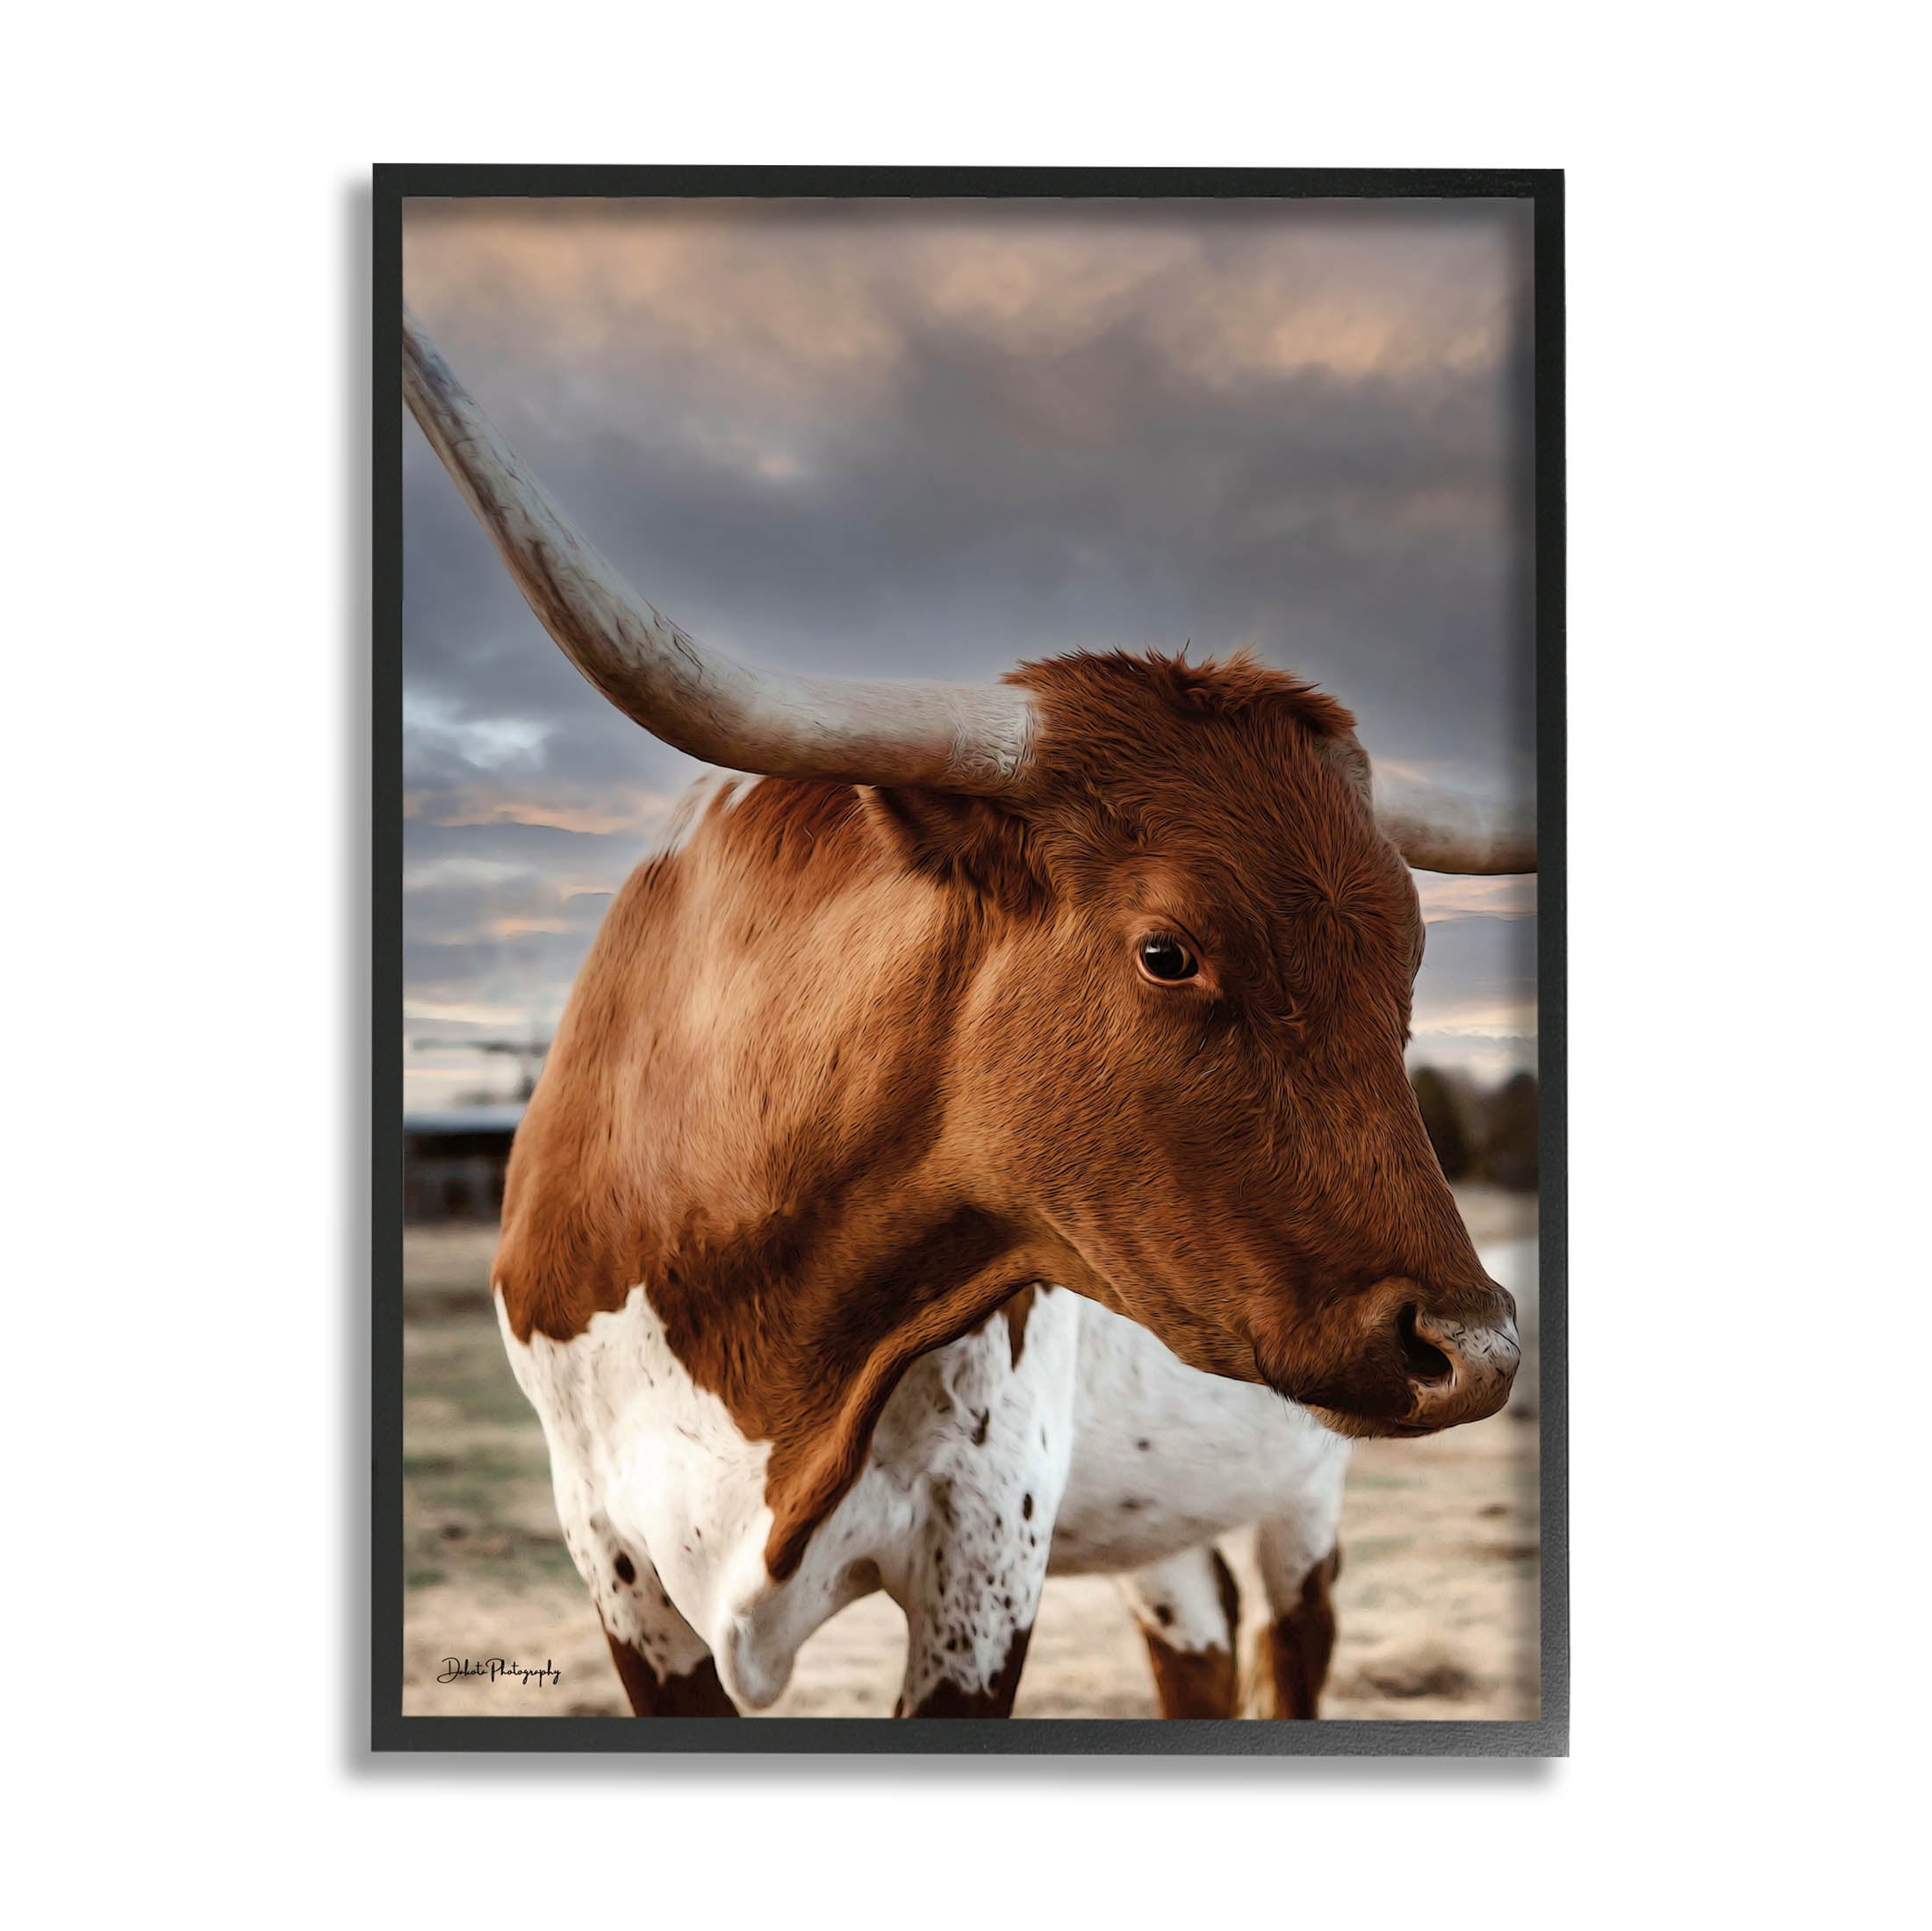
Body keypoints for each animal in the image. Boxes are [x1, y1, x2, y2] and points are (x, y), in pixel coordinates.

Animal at [402, 308, 1533, 1719]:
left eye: (1409, 965)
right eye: (1166, 950)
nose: (1476, 1347)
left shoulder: (986, 1537)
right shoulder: (612, 1556)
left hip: (1301, 1493)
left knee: (1291, 1644)